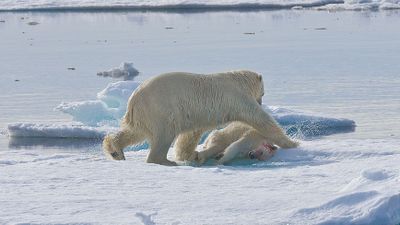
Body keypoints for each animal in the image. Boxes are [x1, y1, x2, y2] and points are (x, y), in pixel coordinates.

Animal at [103, 70, 296, 165]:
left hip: (145, 115)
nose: (261, 102)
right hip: (161, 109)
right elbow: (260, 119)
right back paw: (164, 161)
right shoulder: (237, 97)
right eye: (263, 93)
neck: (239, 80)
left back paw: (115, 150)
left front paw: (188, 154)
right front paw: (292, 143)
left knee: (135, 132)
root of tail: (133, 99)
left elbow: (192, 133)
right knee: (164, 134)